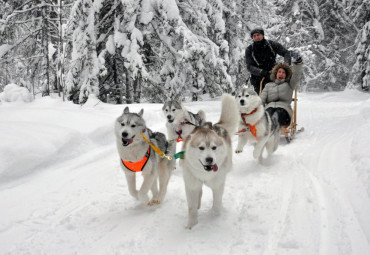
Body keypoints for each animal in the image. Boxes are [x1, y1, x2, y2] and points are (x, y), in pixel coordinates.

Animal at [181, 93, 238, 229]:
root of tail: (217, 126)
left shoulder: (218, 185)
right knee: (199, 191)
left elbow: (217, 205)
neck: (204, 174)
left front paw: (215, 219)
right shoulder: (191, 185)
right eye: (201, 147)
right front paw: (191, 225)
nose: (209, 159)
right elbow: (191, 208)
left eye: (214, 147)